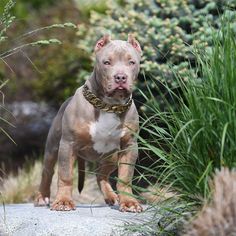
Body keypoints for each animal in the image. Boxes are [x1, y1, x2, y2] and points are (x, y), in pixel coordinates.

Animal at [34, 34, 143, 213]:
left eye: (132, 62)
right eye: (107, 62)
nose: (120, 77)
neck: (109, 105)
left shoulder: (129, 146)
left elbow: (125, 177)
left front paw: (129, 202)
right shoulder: (68, 145)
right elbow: (65, 175)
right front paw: (63, 201)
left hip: (111, 156)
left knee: (101, 175)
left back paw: (111, 196)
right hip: (53, 148)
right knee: (47, 172)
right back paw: (42, 197)